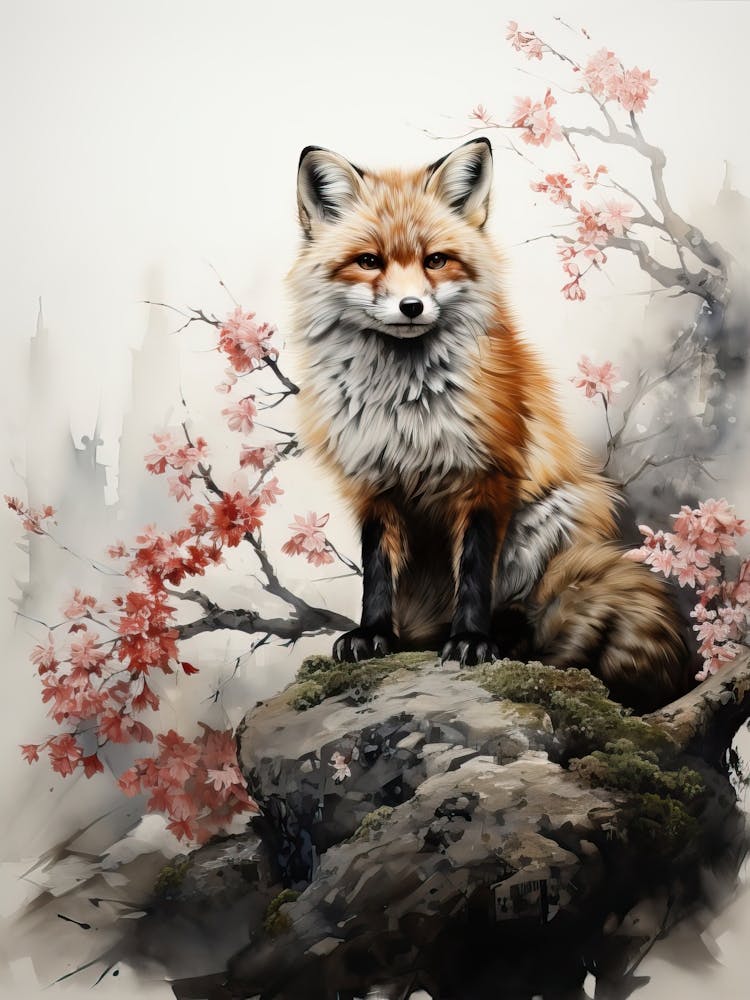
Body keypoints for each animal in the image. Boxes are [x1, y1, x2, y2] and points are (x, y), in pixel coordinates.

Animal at [288, 137, 693, 713]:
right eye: (368, 262)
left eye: (436, 260)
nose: (411, 306)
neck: (403, 403)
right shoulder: (373, 485)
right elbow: (377, 573)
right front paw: (373, 634)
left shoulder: (487, 475)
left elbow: (476, 573)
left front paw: (471, 641)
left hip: (559, 514)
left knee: (527, 611)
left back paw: (500, 634)